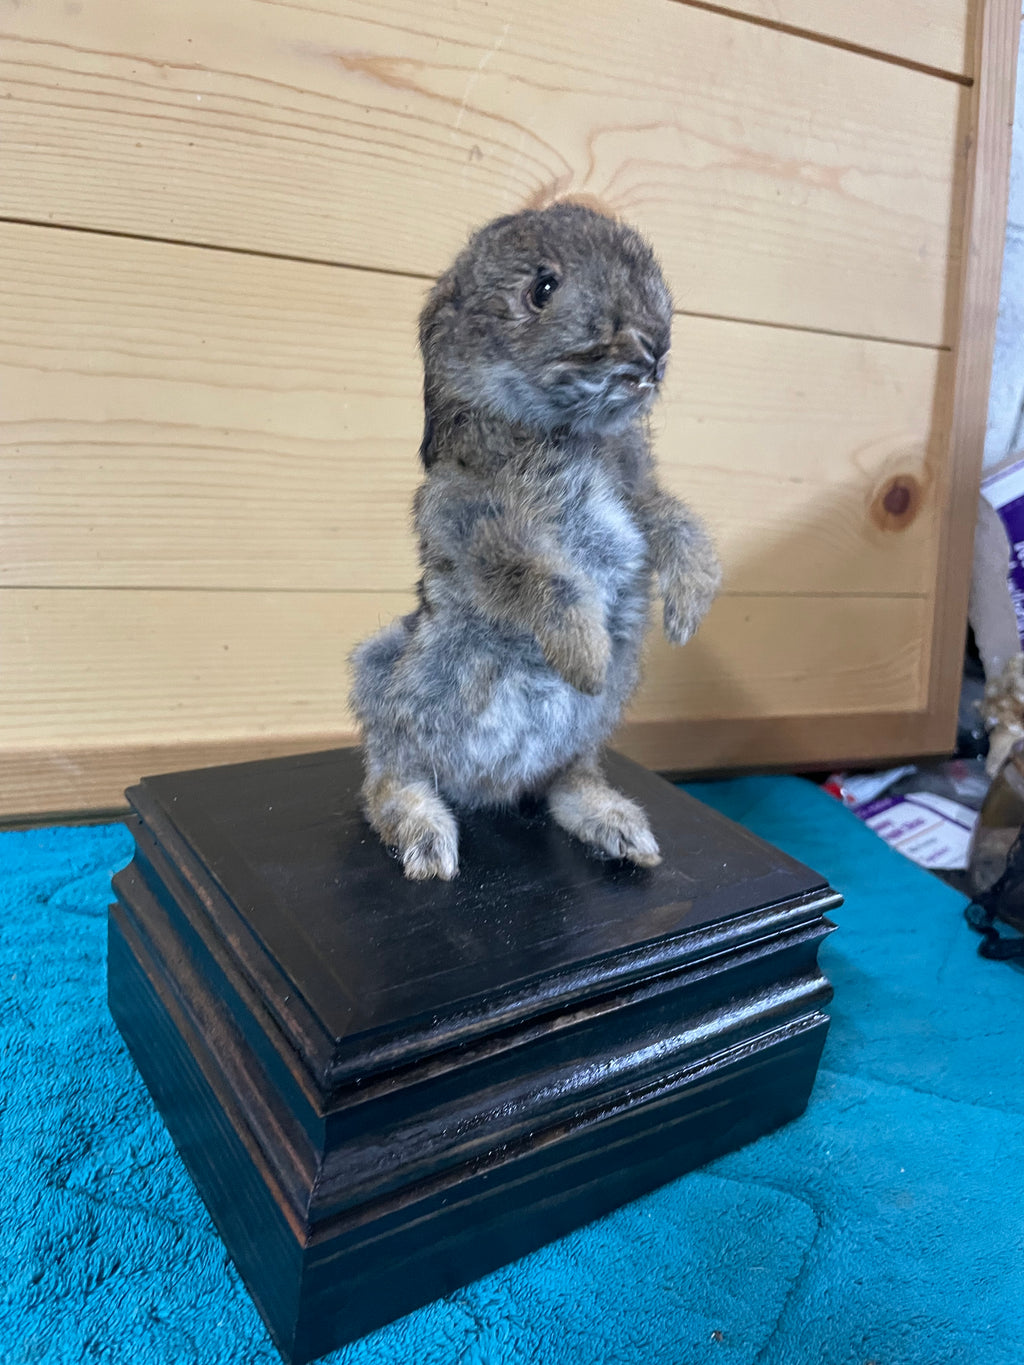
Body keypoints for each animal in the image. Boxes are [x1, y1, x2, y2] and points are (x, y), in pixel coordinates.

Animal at [349, 202, 721, 881]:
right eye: (542, 289)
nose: (655, 347)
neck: (565, 433)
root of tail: (491, 789)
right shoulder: (470, 525)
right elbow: (539, 576)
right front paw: (587, 660)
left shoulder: (639, 501)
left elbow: (677, 525)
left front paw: (685, 616)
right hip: (389, 680)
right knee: (388, 780)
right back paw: (429, 847)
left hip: (585, 734)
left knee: (565, 782)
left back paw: (623, 833)